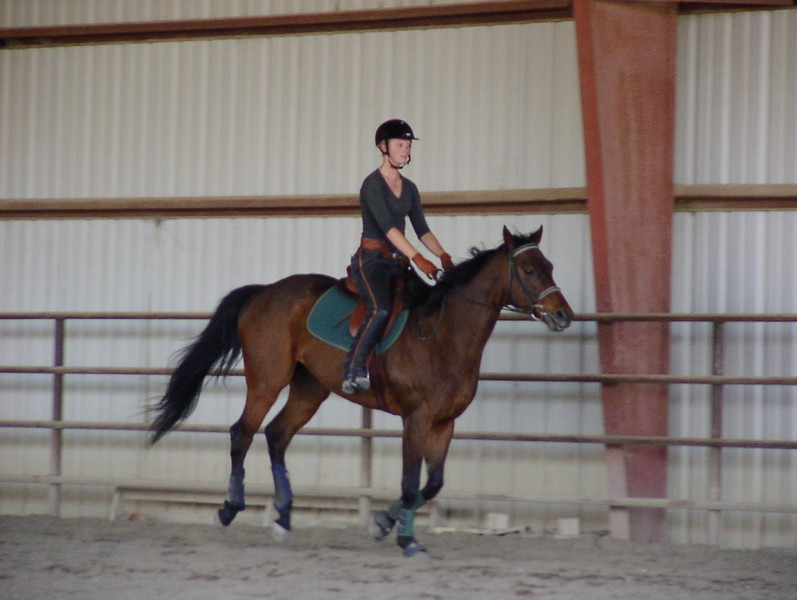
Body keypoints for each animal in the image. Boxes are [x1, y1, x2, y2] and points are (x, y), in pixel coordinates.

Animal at [150, 226, 573, 556]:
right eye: (528, 269)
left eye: (551, 267)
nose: (563, 315)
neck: (443, 335)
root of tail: (264, 291)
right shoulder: (416, 420)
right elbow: (410, 483)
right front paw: (402, 538)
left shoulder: (444, 423)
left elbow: (432, 484)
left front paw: (387, 525)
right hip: (268, 381)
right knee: (243, 432)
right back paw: (228, 510)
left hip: (310, 388)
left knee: (276, 434)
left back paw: (283, 518)